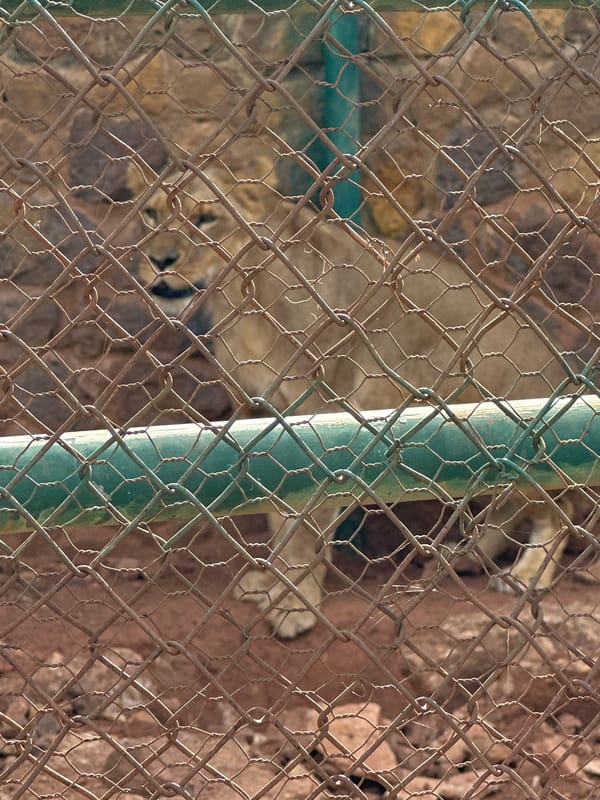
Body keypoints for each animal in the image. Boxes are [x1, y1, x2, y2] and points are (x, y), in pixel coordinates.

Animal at [128, 153, 575, 638]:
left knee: (558, 508)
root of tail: (562, 373)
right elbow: (279, 516)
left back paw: (524, 575)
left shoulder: (321, 414)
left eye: (205, 218)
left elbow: (306, 523)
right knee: (504, 506)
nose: (159, 259)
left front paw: (295, 604)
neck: (244, 303)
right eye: (150, 213)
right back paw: (463, 556)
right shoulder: (260, 413)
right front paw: (269, 582)